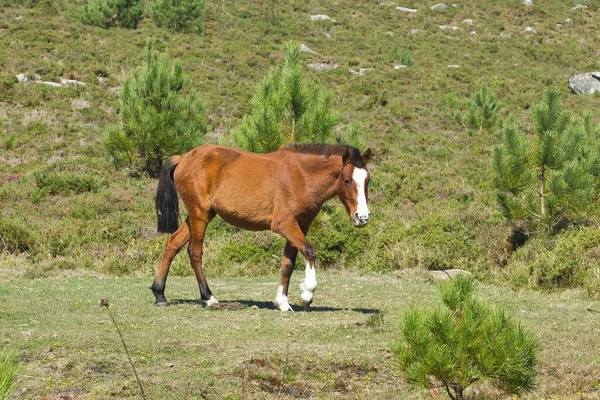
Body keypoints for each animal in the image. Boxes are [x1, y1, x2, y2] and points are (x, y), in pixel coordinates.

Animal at [151, 142, 370, 310]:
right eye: (347, 180)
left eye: (367, 180)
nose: (363, 217)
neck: (301, 176)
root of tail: (183, 158)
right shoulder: (285, 224)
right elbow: (309, 251)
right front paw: (307, 294)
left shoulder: (301, 224)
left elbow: (288, 263)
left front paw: (282, 302)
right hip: (200, 215)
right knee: (194, 252)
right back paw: (209, 298)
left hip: (199, 215)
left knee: (172, 244)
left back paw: (159, 293)